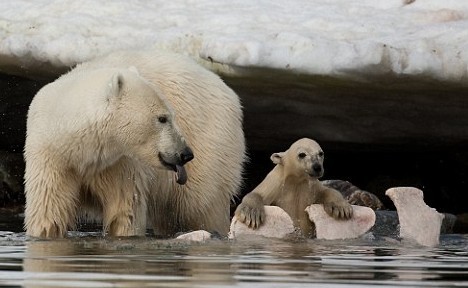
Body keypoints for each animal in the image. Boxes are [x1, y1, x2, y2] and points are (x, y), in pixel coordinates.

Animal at [24, 50, 245, 238]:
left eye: (171, 115)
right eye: (162, 118)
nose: (186, 153)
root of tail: (229, 93)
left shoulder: (120, 165)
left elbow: (124, 212)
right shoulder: (51, 160)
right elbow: (48, 214)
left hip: (210, 146)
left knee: (202, 205)